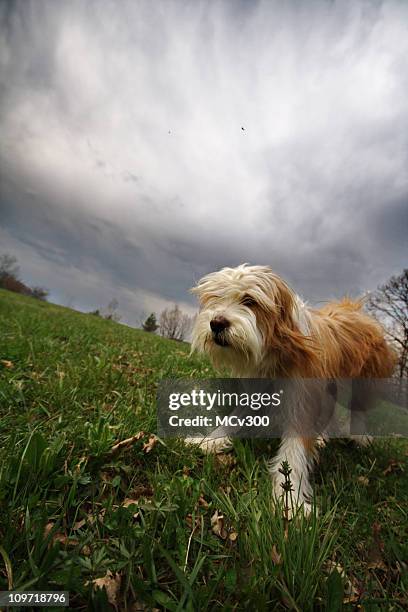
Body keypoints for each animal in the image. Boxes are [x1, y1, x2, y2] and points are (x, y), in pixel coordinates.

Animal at [190, 262, 396, 512]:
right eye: (216, 298)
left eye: (249, 300)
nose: (216, 323)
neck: (278, 349)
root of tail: (354, 309)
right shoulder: (260, 391)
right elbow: (233, 419)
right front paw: (209, 442)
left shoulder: (303, 398)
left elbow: (293, 452)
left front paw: (290, 500)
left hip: (364, 379)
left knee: (358, 408)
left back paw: (359, 436)